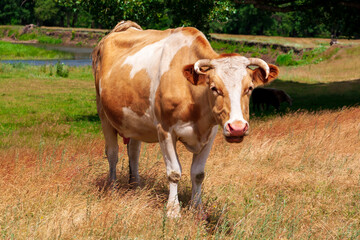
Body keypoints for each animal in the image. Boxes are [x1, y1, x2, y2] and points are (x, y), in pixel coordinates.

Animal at [91, 20, 280, 218]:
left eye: (249, 88)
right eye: (214, 88)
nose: (237, 128)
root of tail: (125, 27)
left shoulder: (211, 133)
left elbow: (198, 173)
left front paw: (198, 210)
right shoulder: (165, 130)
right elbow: (174, 172)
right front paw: (173, 211)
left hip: (134, 122)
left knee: (133, 153)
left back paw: (136, 188)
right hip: (104, 114)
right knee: (112, 153)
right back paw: (113, 188)